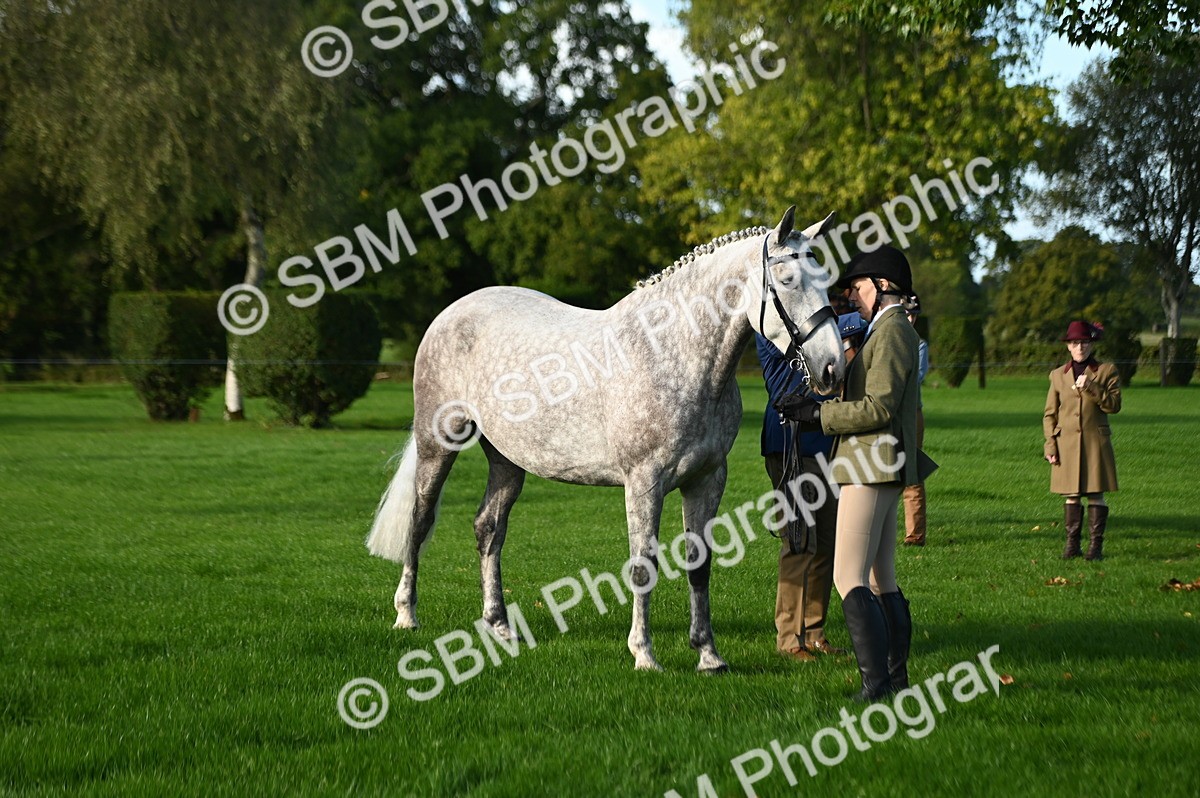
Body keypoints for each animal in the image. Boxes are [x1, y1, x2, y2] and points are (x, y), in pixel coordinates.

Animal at [367, 207, 846, 672]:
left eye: (826, 281)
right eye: (788, 280)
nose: (832, 369)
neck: (672, 353)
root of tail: (451, 313)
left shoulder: (707, 479)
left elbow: (699, 565)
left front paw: (708, 655)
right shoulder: (644, 482)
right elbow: (643, 567)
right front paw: (644, 654)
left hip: (506, 460)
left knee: (489, 528)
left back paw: (500, 625)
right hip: (438, 443)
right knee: (420, 520)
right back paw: (406, 614)